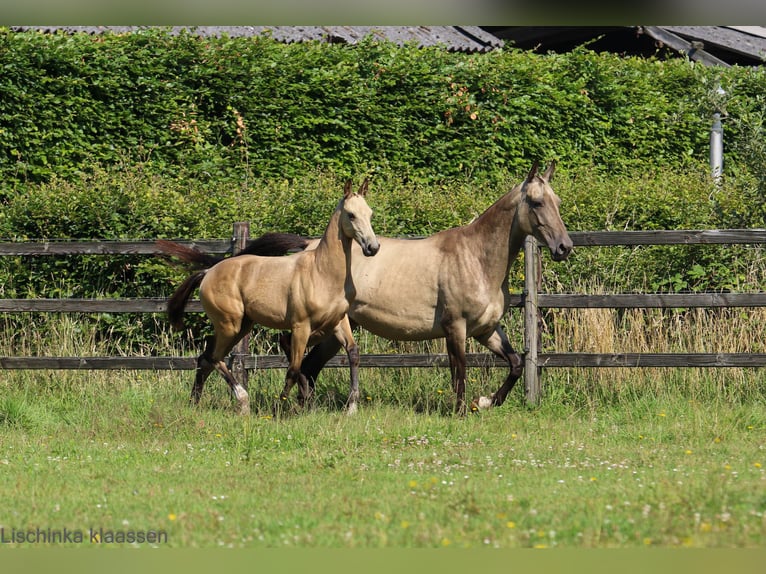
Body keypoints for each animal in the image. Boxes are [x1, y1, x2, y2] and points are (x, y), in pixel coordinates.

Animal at [162, 180, 380, 414]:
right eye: (351, 215)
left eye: (370, 213)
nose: (372, 247)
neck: (323, 272)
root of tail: (208, 273)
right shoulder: (300, 326)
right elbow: (293, 368)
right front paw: (280, 407)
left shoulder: (339, 320)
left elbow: (353, 354)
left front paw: (351, 407)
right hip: (229, 325)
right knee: (214, 358)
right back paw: (243, 401)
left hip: (242, 326)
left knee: (205, 358)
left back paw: (195, 402)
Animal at [274, 160, 568, 416]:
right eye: (537, 202)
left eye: (558, 203)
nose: (564, 247)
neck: (476, 259)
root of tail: (311, 246)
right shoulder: (455, 327)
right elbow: (459, 372)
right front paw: (462, 411)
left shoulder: (486, 330)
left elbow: (516, 364)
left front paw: (485, 401)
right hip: (321, 323)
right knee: (292, 348)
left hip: (339, 327)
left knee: (310, 365)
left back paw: (306, 404)